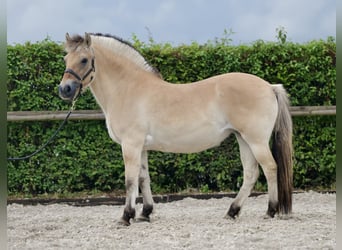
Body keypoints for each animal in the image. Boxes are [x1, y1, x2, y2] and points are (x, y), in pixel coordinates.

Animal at [58, 32, 292, 226]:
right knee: (251, 174)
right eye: (65, 59)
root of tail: (270, 87)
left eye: (84, 59)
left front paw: (126, 217)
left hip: (256, 140)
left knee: (270, 168)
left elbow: (130, 180)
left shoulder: (130, 145)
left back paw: (270, 211)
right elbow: (143, 179)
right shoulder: (141, 147)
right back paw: (232, 211)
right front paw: (145, 213)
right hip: (243, 139)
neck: (129, 89)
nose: (64, 89)